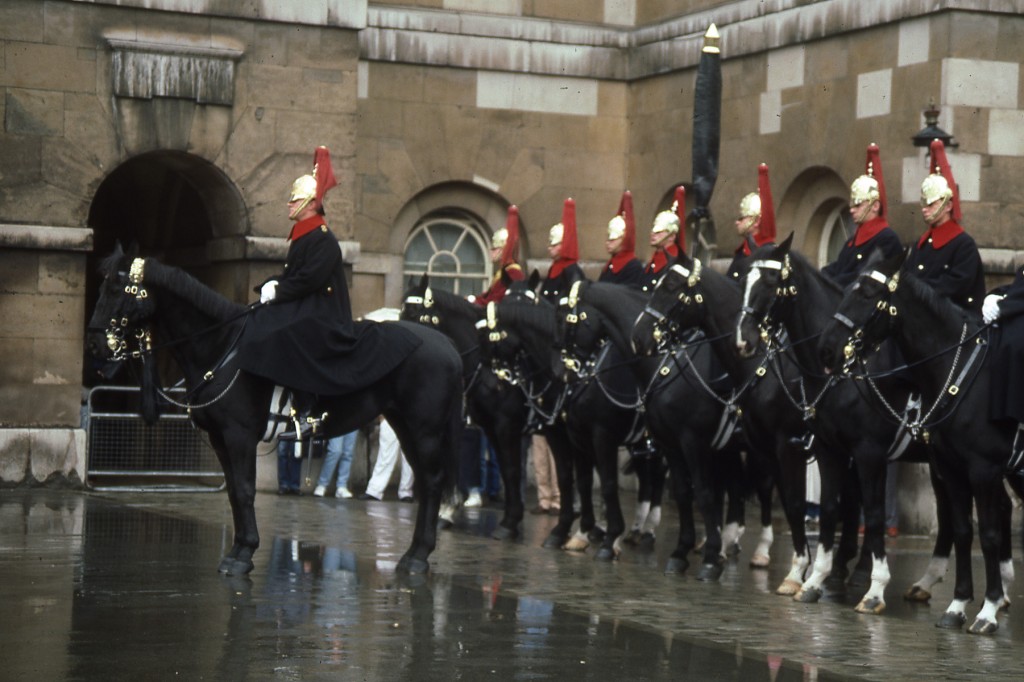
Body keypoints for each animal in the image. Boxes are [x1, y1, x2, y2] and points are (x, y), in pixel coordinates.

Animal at [88, 242, 464, 573]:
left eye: (117, 288)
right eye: (102, 285)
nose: (95, 346)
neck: (220, 346)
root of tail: (447, 343)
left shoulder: (239, 435)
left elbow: (244, 489)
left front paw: (243, 554)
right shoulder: (220, 440)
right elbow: (234, 492)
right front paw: (239, 549)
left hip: (424, 430)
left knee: (432, 482)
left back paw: (418, 556)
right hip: (405, 425)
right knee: (426, 481)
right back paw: (413, 553)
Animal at [399, 274, 528, 540]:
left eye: (415, 313)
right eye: (400, 313)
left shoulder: (504, 425)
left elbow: (508, 468)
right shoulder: (487, 426)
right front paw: (448, 510)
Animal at [557, 278, 770, 577]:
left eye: (569, 319)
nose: (564, 373)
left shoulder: (615, 435)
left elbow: (611, 484)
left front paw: (609, 539)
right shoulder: (664, 442)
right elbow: (681, 492)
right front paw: (681, 551)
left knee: (760, 488)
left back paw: (758, 551)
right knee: (733, 486)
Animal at [815, 248, 1024, 630]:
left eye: (867, 294)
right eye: (847, 290)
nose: (826, 350)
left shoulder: (982, 469)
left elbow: (987, 535)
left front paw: (987, 610)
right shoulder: (952, 467)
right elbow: (962, 530)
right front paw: (957, 605)